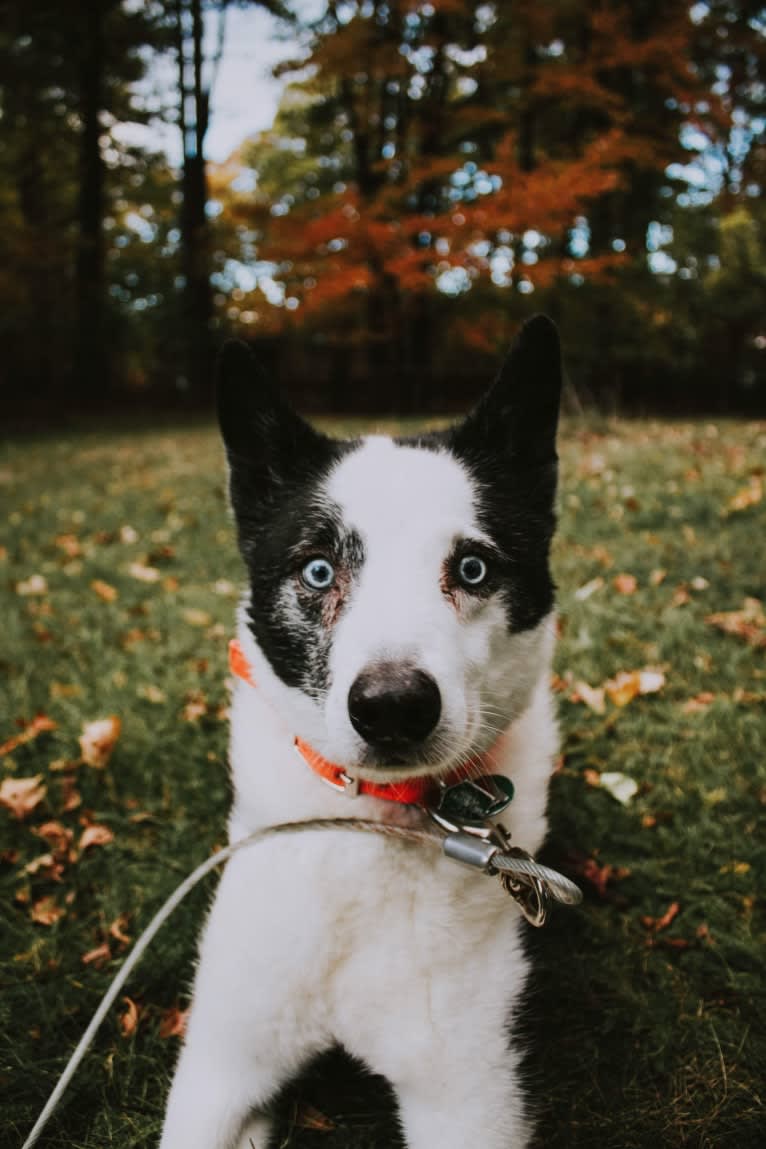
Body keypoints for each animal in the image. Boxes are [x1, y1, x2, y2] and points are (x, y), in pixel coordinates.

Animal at [161, 314, 567, 1149]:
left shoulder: (471, 1101)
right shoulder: (217, 1066)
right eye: (318, 571)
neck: (371, 833)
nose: (392, 706)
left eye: (473, 569)